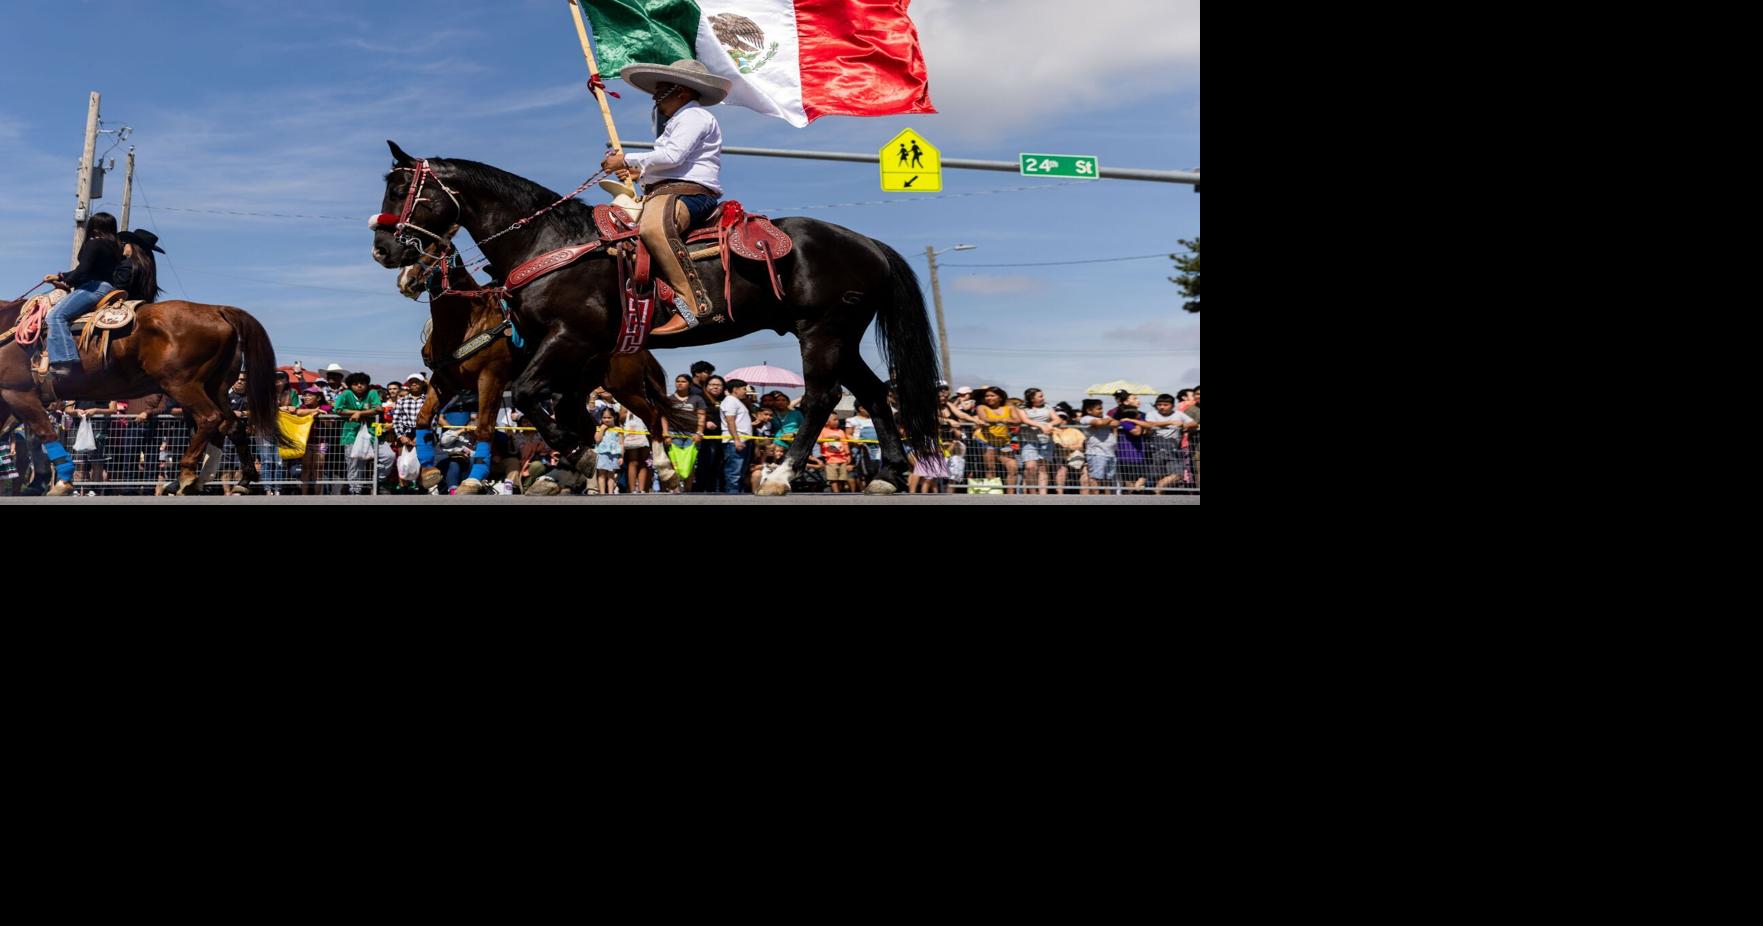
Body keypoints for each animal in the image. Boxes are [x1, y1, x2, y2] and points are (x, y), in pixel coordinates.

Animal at [0, 294, 287, 496]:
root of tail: (216, 310)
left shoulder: (19, 394)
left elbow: (43, 432)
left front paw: (61, 482)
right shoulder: (13, 401)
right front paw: (39, 482)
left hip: (183, 386)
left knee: (210, 419)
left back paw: (186, 477)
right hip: (215, 388)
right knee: (232, 426)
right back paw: (237, 480)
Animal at [396, 246, 693, 493]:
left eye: (437, 249)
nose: (407, 281)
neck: (471, 321)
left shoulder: (491, 378)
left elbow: (484, 428)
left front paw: (472, 480)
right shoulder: (445, 380)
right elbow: (423, 418)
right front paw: (429, 472)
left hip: (625, 388)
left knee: (653, 417)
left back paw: (665, 472)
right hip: (574, 390)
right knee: (586, 428)